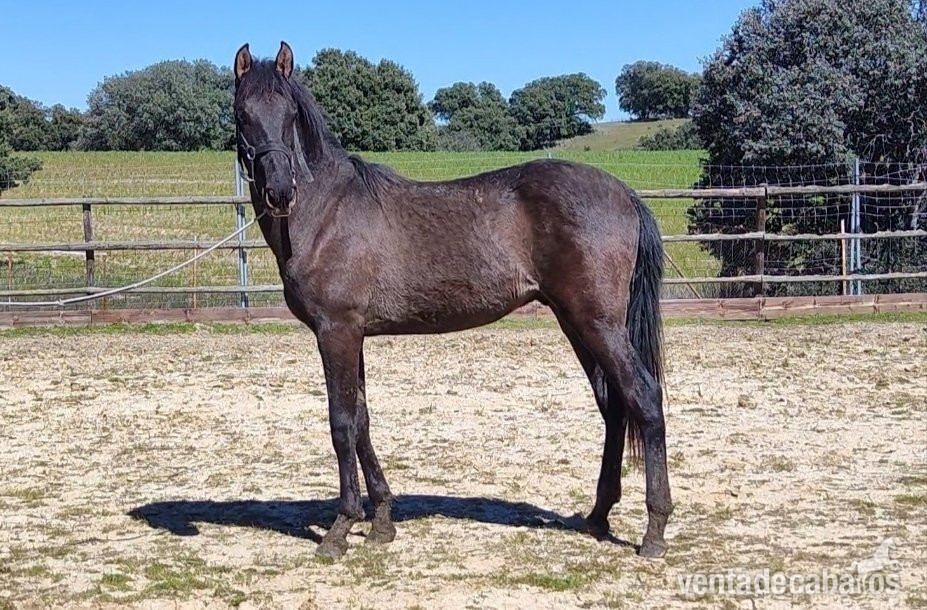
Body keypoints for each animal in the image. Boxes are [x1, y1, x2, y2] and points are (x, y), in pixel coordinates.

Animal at [232, 41, 672, 560]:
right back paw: (599, 515)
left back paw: (654, 530)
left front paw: (341, 528)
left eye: (290, 114)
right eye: (243, 114)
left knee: (644, 398)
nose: (281, 192)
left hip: (597, 324)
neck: (325, 213)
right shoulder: (353, 335)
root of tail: (625, 193)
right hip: (578, 323)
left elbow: (341, 424)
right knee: (614, 405)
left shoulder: (335, 332)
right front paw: (382, 521)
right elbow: (362, 420)